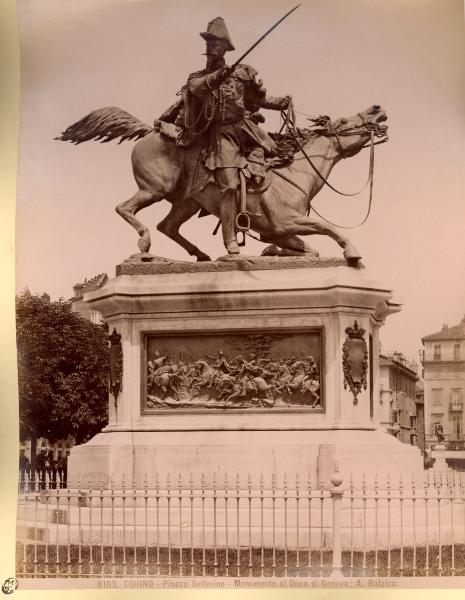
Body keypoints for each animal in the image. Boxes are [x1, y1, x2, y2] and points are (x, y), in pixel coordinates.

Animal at [56, 105, 386, 262]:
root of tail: (151, 131)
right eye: (342, 123)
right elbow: (328, 228)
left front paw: (273, 254)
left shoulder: (278, 231)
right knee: (125, 209)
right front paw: (351, 251)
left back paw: (202, 255)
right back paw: (145, 245)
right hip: (155, 189)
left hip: (186, 202)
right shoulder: (287, 222)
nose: (377, 109)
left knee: (168, 225)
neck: (295, 173)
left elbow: (310, 251)